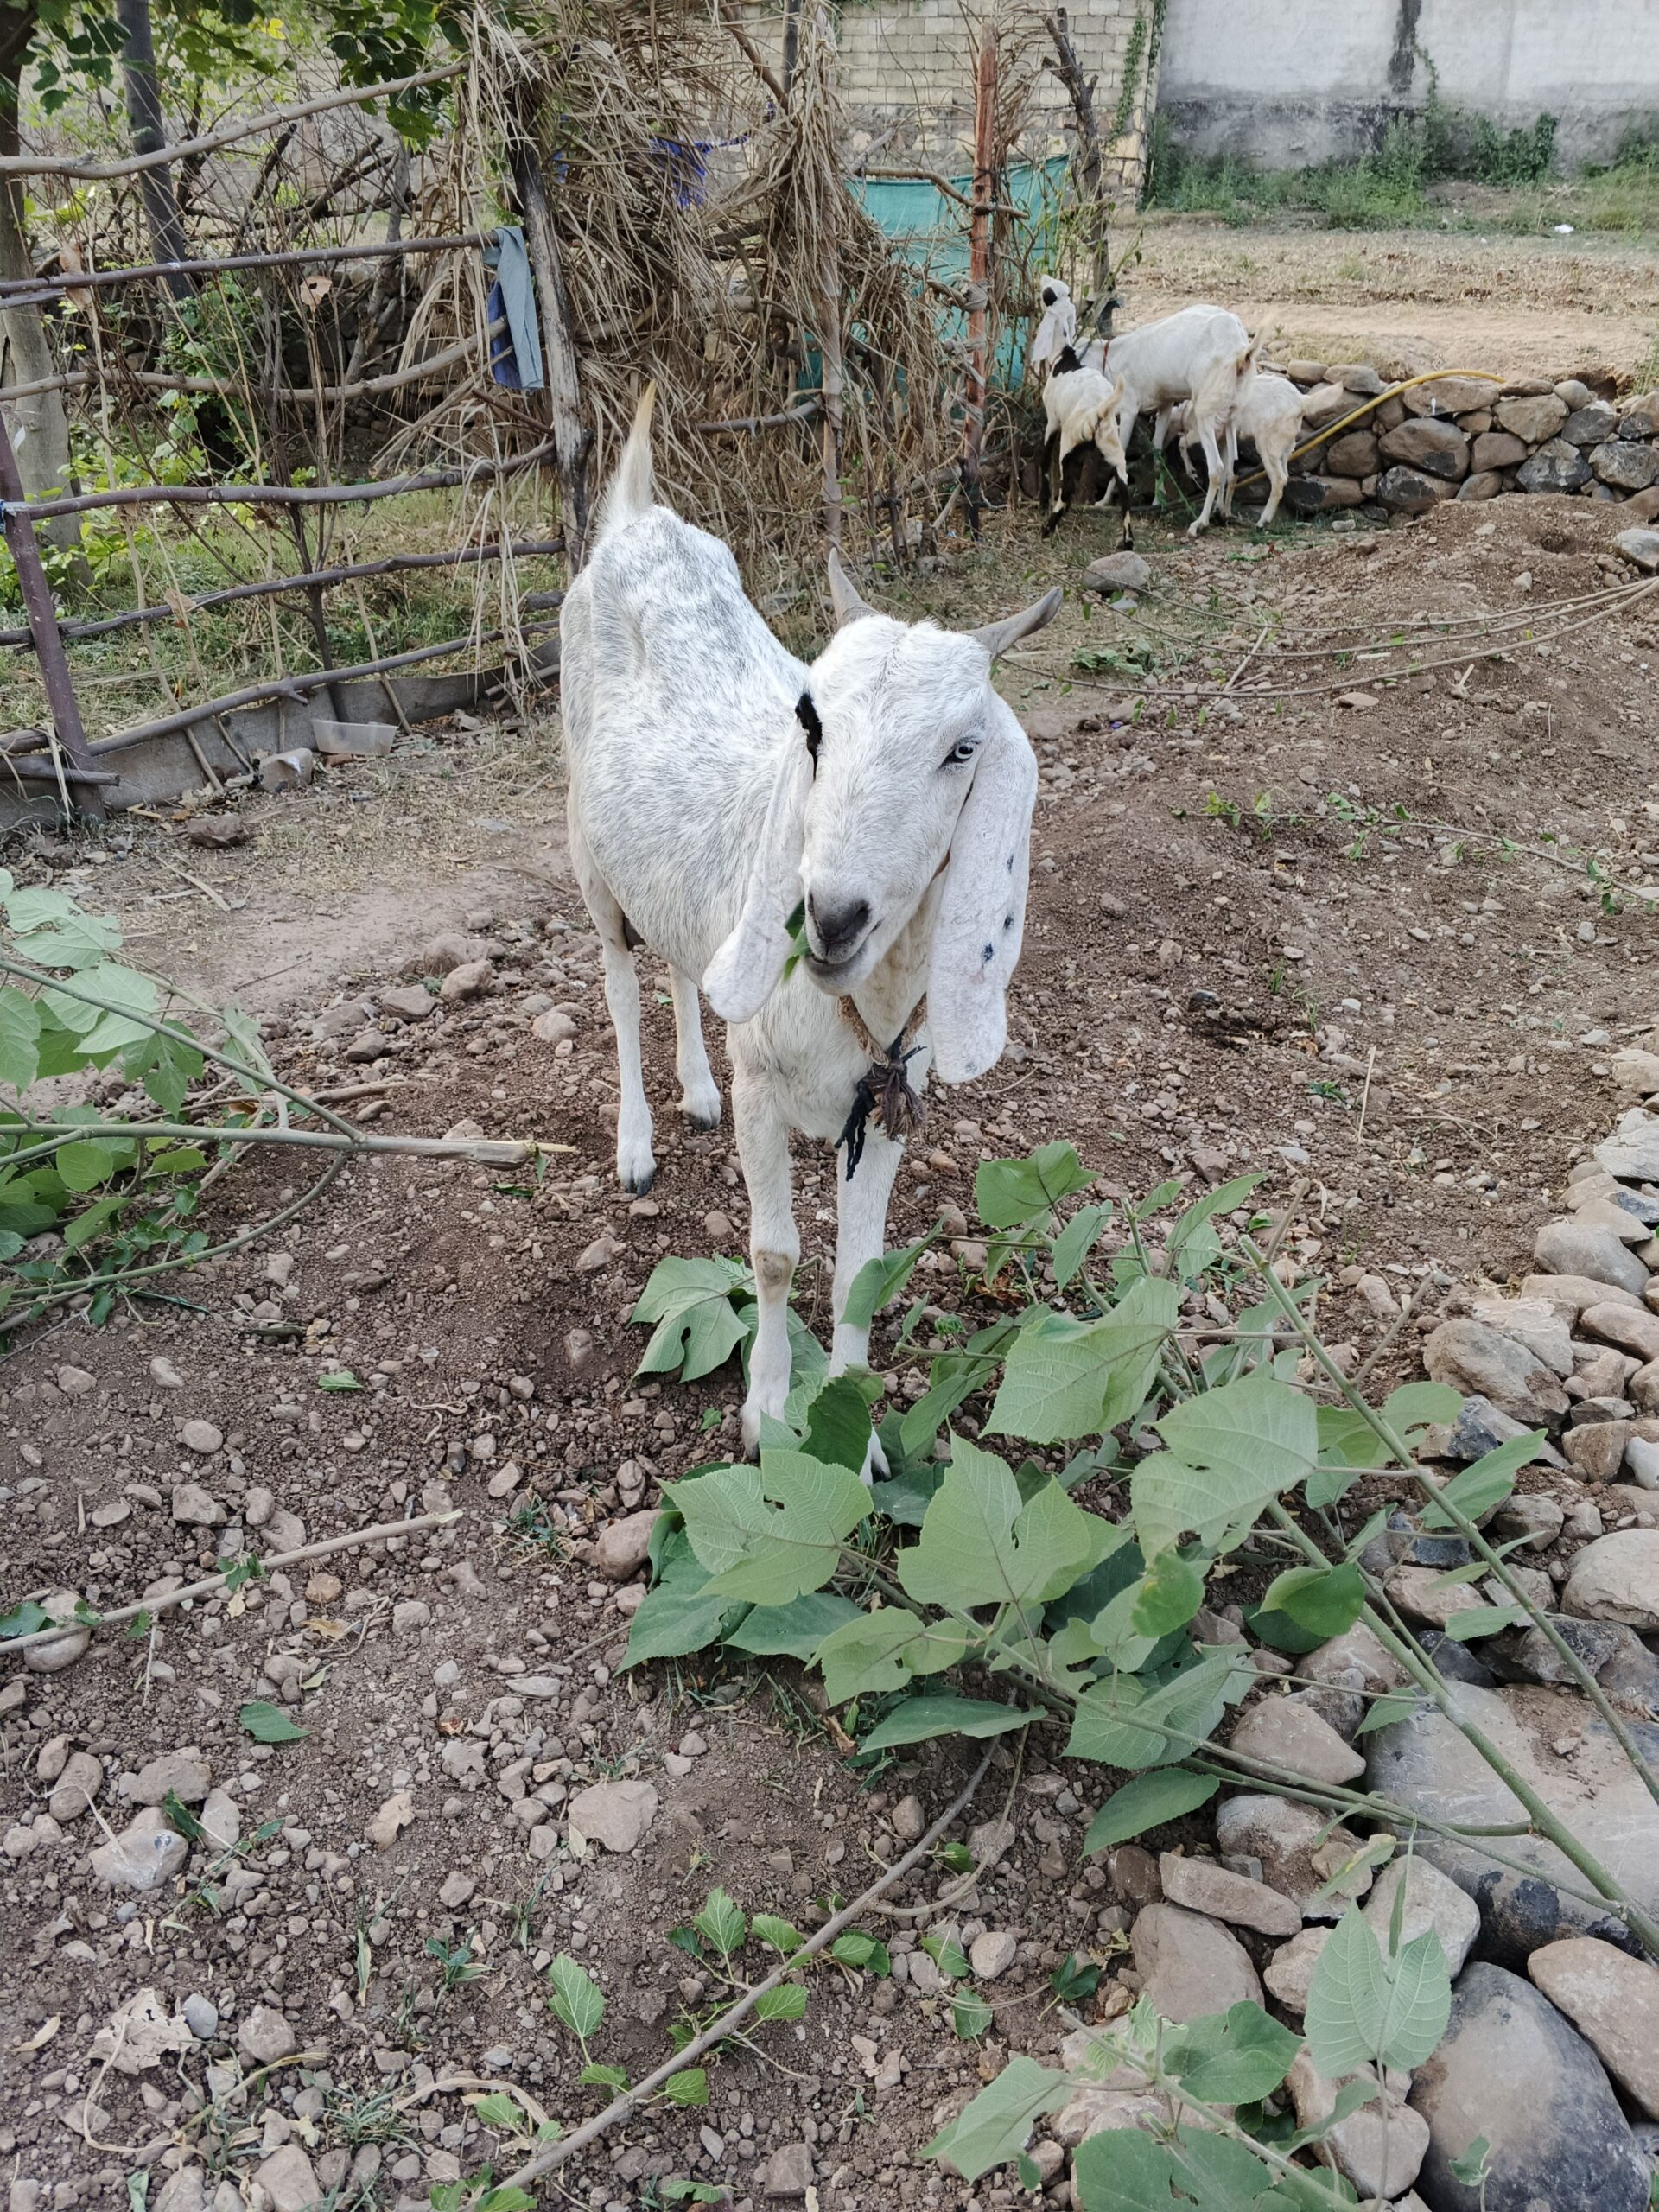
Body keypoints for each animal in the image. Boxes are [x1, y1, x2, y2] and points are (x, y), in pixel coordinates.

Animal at [559, 386, 1060, 1476]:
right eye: (813, 723)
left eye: (964, 748)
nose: (831, 915)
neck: (854, 1005)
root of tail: (637, 518)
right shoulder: (764, 1085)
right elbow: (776, 1253)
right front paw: (765, 1412)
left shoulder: (891, 1106)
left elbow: (857, 1269)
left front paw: (855, 1436)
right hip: (586, 844)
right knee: (616, 978)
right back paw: (637, 1140)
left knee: (681, 967)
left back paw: (693, 1089)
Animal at [1039, 344, 1129, 540]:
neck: (1065, 359)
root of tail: (1099, 411)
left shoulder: (1052, 422)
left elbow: (1044, 461)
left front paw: (1042, 504)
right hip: (1114, 452)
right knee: (1124, 493)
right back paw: (1128, 542)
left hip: (1068, 443)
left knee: (1067, 489)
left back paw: (1047, 528)